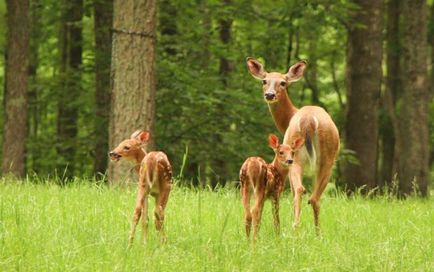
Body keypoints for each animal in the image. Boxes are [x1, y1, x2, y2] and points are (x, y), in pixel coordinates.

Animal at [248, 57, 340, 230]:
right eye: (264, 81)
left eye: (283, 82)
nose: (269, 94)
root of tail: (308, 120)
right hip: (328, 159)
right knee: (314, 197)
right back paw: (317, 233)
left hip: (295, 157)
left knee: (300, 190)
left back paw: (295, 228)